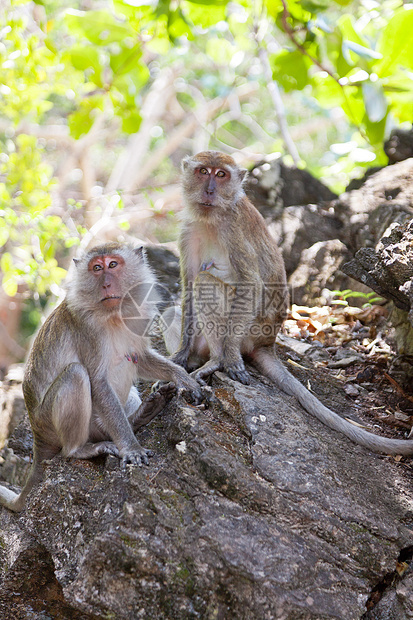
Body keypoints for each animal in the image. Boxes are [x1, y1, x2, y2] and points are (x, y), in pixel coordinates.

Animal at [0, 243, 201, 512]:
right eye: (96, 268)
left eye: (113, 264)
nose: (106, 284)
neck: (113, 315)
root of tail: (37, 436)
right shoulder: (87, 329)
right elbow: (97, 381)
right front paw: (131, 447)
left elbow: (140, 358)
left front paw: (184, 379)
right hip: (50, 423)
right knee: (76, 375)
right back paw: (81, 449)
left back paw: (141, 415)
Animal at [167, 151, 412, 456]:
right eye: (203, 171)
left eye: (221, 175)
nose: (209, 190)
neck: (211, 217)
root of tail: (267, 342)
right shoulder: (187, 231)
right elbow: (187, 286)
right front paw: (178, 356)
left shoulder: (233, 228)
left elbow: (249, 284)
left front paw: (230, 359)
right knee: (179, 303)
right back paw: (190, 361)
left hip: (251, 331)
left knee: (206, 284)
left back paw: (216, 361)